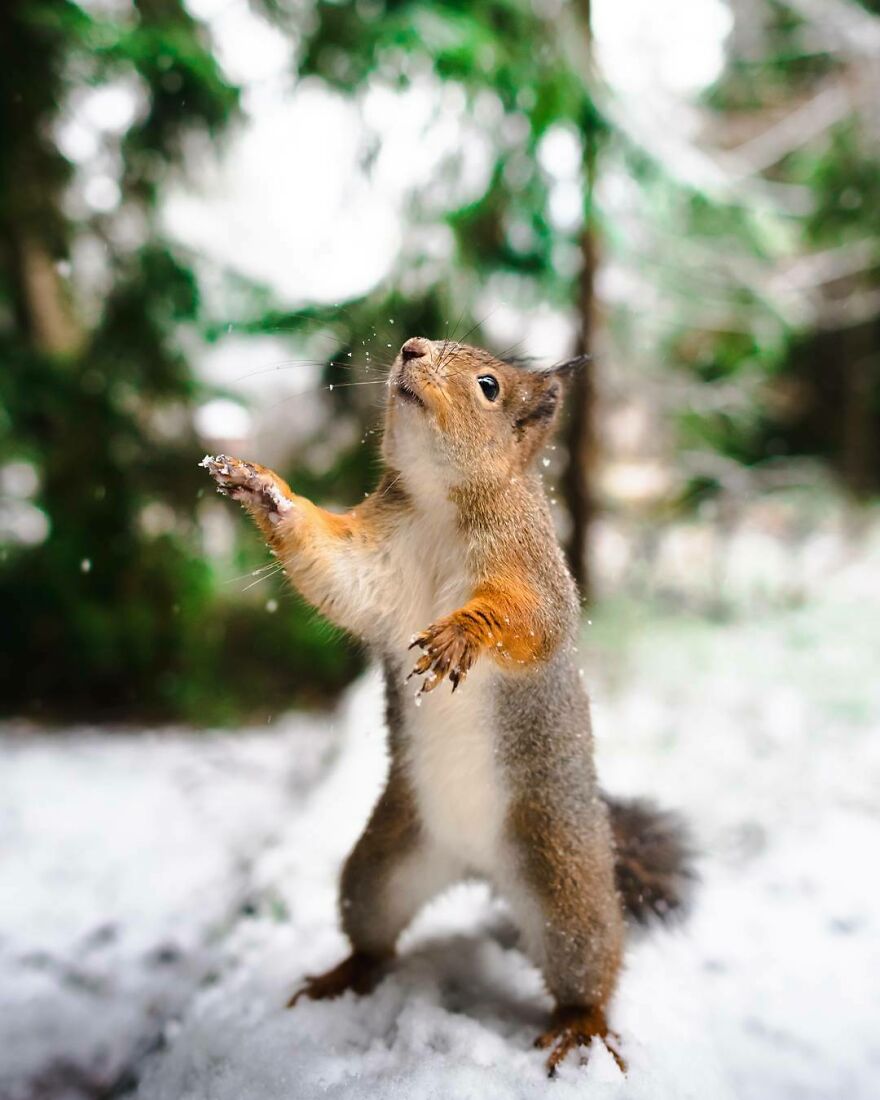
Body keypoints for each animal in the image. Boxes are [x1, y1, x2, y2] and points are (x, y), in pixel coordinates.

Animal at [201, 336, 694, 1076]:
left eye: (489, 385)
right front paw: (266, 490)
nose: (410, 347)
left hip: (565, 887)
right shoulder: (376, 561)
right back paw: (343, 976)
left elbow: (526, 618)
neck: (441, 502)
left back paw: (580, 1027)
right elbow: (334, 570)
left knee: (589, 965)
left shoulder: (530, 564)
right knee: (373, 933)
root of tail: (475, 867)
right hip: (382, 866)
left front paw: (463, 633)